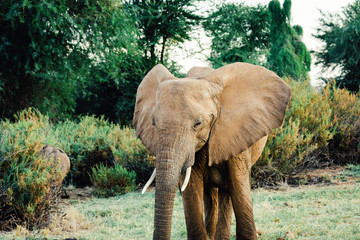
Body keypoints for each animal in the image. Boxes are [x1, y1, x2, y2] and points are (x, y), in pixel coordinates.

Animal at [134, 62, 292, 239]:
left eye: (198, 123)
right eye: (154, 123)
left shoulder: (236, 134)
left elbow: (238, 188)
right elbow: (191, 190)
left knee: (226, 191)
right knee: (211, 195)